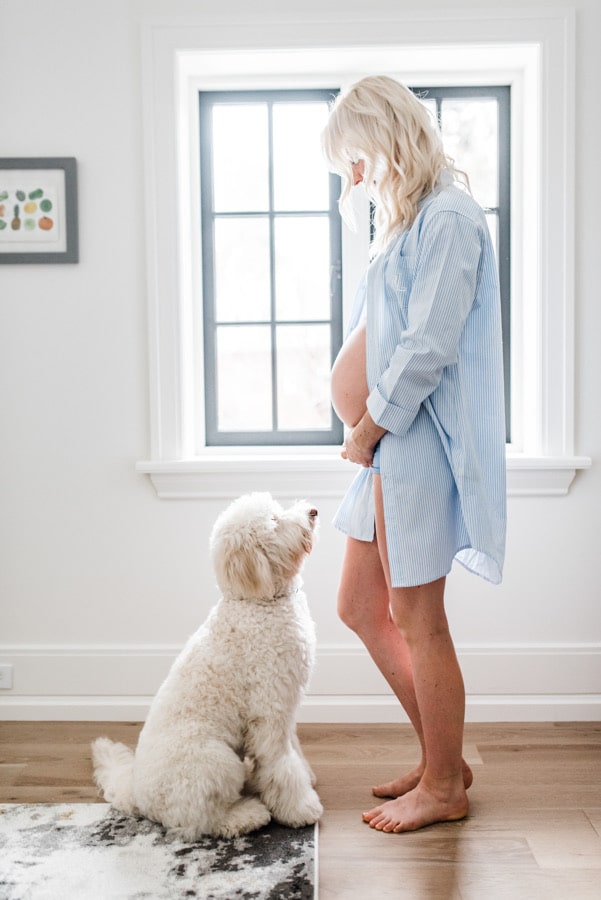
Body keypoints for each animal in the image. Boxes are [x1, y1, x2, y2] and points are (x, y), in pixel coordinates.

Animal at [91, 492, 322, 836]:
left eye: (277, 510)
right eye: (275, 521)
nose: (313, 511)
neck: (255, 602)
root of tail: (137, 793)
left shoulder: (284, 704)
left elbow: (292, 750)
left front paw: (306, 777)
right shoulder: (268, 710)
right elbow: (281, 765)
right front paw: (300, 809)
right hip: (215, 761)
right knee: (200, 819)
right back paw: (247, 814)